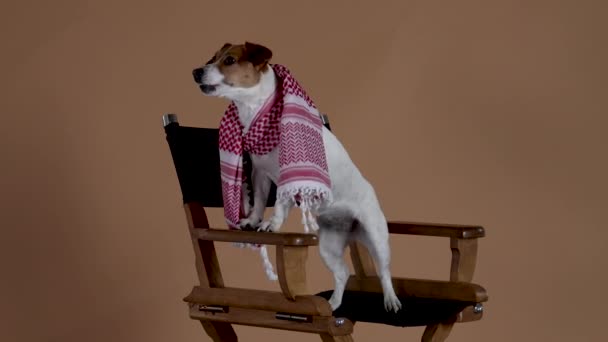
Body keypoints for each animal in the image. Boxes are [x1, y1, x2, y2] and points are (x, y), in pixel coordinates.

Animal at [194, 40, 404, 312]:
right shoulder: (259, 173)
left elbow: (279, 204)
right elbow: (258, 201)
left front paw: (271, 224)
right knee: (342, 273)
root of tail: (352, 231)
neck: (256, 111)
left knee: (384, 272)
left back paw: (390, 300)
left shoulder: (289, 176)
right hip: (328, 245)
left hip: (376, 237)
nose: (196, 72)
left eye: (229, 60)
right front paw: (253, 220)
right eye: (213, 58)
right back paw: (333, 304)